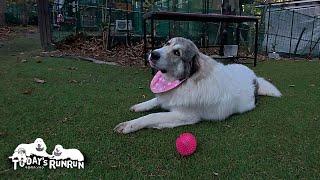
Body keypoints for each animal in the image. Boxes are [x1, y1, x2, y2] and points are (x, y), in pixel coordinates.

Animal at [114, 37, 282, 134]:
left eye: (177, 53)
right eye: (167, 44)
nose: (152, 53)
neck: (186, 80)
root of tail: (254, 78)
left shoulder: (186, 116)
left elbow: (153, 116)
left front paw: (129, 125)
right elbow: (156, 100)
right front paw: (139, 106)